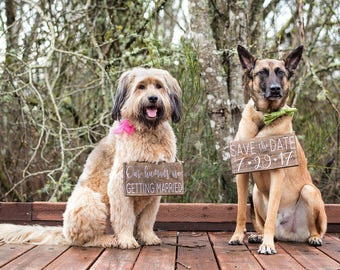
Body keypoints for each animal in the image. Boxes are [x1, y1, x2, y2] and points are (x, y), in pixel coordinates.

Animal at [0, 67, 182, 249]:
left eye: (159, 86)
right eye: (141, 87)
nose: (153, 98)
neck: (149, 132)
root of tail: (64, 232)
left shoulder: (155, 188)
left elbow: (147, 219)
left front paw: (148, 236)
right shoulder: (120, 183)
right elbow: (124, 217)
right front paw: (127, 239)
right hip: (89, 201)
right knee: (85, 240)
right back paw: (108, 239)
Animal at [228, 46, 326, 255]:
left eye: (281, 73)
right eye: (262, 72)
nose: (275, 89)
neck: (264, 118)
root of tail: (289, 234)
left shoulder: (277, 174)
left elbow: (272, 214)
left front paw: (267, 244)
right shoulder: (242, 174)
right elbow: (240, 211)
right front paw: (237, 236)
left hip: (309, 191)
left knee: (315, 229)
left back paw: (312, 238)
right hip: (256, 192)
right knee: (261, 221)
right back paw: (258, 235)